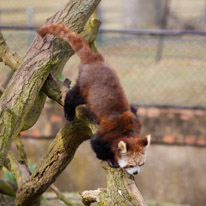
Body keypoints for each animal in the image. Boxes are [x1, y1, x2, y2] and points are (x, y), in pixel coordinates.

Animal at [37, 24, 150, 175]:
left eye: (141, 164)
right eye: (130, 165)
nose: (136, 172)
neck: (128, 131)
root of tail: (95, 60)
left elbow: (134, 109)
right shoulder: (108, 133)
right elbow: (96, 144)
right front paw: (110, 160)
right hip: (85, 86)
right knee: (73, 96)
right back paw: (69, 111)